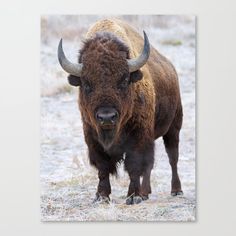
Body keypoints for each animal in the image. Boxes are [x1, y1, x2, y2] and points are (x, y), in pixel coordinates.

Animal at [57, 18, 183, 205]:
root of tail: (171, 68)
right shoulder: (92, 138)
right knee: (150, 166)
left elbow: (134, 166)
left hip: (173, 128)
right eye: (86, 84)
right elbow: (103, 168)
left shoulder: (138, 137)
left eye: (123, 81)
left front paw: (133, 196)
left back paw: (176, 191)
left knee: (172, 159)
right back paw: (146, 193)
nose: (106, 117)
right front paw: (102, 196)